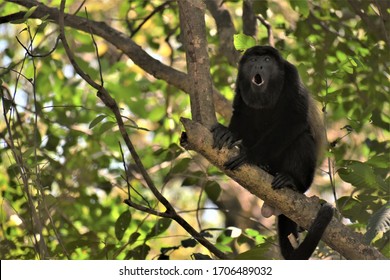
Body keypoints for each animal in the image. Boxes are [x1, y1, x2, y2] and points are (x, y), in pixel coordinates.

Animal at [212, 46, 334, 260]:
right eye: (253, 60)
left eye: (267, 60)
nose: (259, 66)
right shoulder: (240, 81)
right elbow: (242, 112)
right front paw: (228, 133)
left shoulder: (292, 75)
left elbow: (294, 118)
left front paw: (249, 156)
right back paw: (264, 167)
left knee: (302, 138)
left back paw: (291, 180)